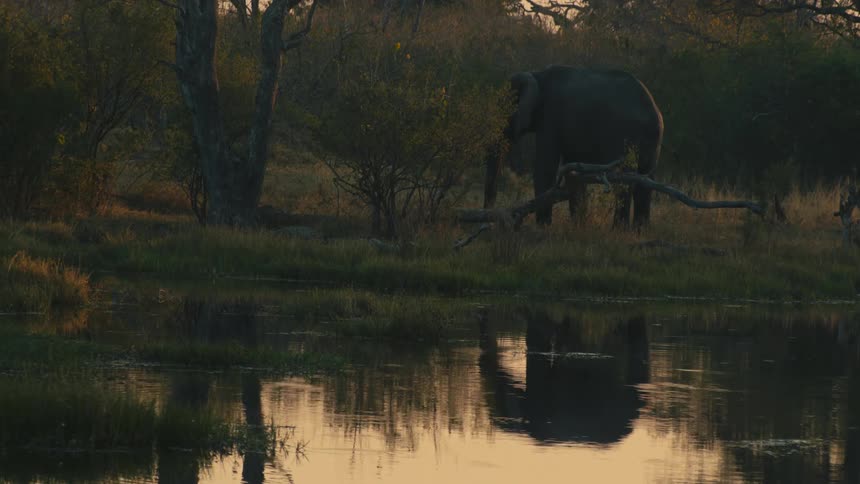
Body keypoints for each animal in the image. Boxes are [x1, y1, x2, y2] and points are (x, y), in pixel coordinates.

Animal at [484, 65, 664, 227]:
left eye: (503, 109)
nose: (489, 221)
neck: (537, 75)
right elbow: (574, 173)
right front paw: (578, 225)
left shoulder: (551, 116)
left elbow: (545, 168)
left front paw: (543, 228)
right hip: (652, 141)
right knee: (645, 179)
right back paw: (638, 230)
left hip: (627, 135)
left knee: (625, 179)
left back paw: (619, 229)